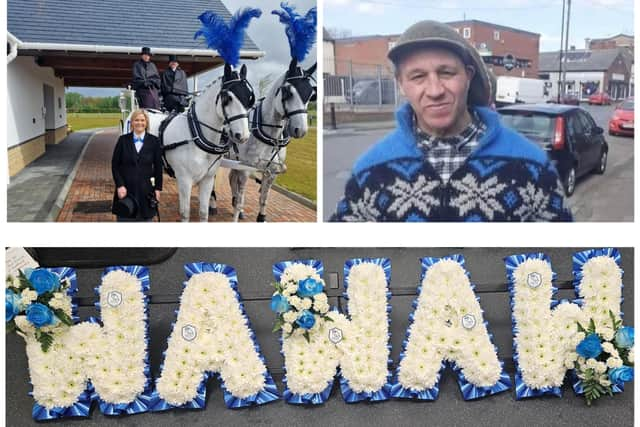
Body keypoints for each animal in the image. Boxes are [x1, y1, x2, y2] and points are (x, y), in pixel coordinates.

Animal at [126, 66, 254, 224]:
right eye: (227, 98)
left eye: (249, 98)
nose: (243, 136)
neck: (195, 134)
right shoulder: (184, 180)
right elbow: (185, 213)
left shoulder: (207, 179)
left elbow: (204, 213)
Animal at [211, 60, 316, 222]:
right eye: (288, 93)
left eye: (310, 94)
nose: (301, 130)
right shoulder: (245, 169)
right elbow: (241, 199)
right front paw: (236, 213)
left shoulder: (271, 172)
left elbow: (264, 198)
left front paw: (261, 216)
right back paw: (213, 205)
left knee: (231, 179)